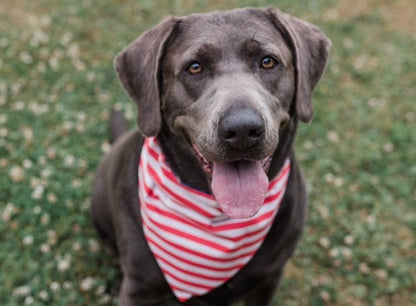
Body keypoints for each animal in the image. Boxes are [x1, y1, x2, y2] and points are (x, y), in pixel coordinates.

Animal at [92, 5, 332, 304]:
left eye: (268, 61)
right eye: (194, 67)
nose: (242, 130)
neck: (218, 215)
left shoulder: (268, 279)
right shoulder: (139, 289)